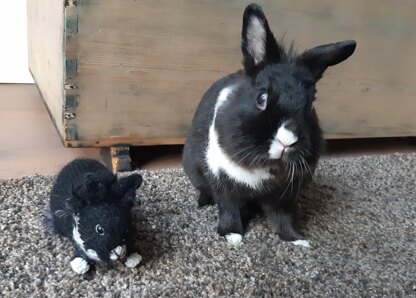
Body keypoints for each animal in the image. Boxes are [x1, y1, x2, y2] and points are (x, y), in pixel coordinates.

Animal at [183, 3, 358, 246]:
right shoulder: (224, 185)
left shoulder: (284, 197)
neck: (266, 166)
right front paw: (233, 236)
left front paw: (296, 240)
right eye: (262, 97)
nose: (287, 141)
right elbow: (229, 209)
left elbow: (282, 218)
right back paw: (203, 202)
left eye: (311, 103)